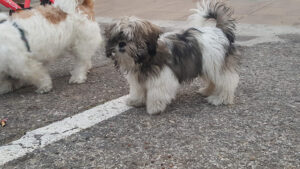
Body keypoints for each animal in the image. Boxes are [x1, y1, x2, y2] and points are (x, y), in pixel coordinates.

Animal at [105, 0, 239, 115]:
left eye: (132, 38)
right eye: (116, 38)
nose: (121, 44)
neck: (146, 58)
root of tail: (219, 31)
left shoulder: (162, 78)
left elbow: (156, 93)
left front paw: (154, 108)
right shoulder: (138, 78)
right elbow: (137, 90)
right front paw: (136, 101)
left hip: (216, 63)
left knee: (227, 81)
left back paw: (221, 98)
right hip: (206, 64)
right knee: (213, 80)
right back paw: (207, 91)